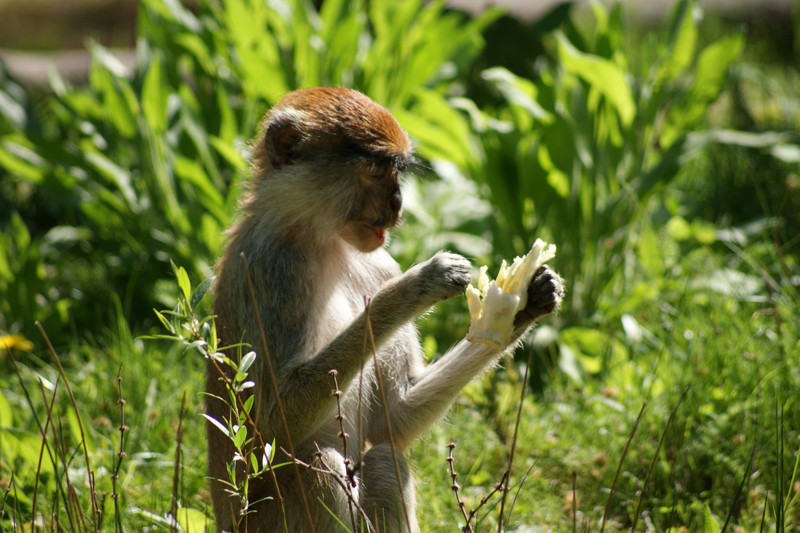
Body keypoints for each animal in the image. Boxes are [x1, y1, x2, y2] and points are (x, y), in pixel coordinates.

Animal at [209, 85, 564, 528]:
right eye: (375, 170)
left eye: (395, 172)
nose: (397, 206)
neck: (320, 237)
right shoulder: (274, 267)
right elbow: (276, 418)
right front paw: (416, 286)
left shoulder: (377, 261)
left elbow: (391, 422)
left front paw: (530, 300)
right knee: (322, 467)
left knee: (382, 459)